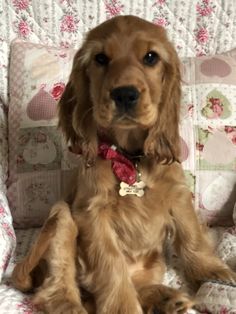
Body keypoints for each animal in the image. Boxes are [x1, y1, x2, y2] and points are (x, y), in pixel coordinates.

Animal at [12, 14, 235, 314]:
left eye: (151, 57)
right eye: (100, 58)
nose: (125, 94)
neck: (130, 157)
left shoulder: (177, 194)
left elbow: (192, 237)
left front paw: (216, 272)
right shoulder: (92, 214)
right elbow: (111, 268)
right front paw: (123, 308)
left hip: (154, 263)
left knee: (133, 288)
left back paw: (168, 298)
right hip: (60, 216)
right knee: (56, 288)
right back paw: (71, 305)